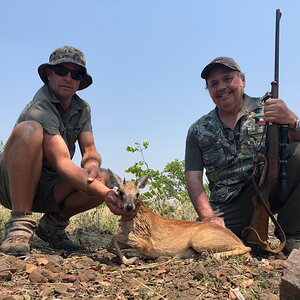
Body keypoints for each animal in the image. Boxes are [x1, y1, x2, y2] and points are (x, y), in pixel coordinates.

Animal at [106, 169, 251, 264]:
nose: (129, 207)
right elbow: (109, 244)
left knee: (246, 248)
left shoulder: (143, 243)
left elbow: (113, 238)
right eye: (120, 192)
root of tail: (236, 238)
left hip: (199, 241)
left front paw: (130, 259)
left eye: (137, 194)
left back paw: (212, 256)